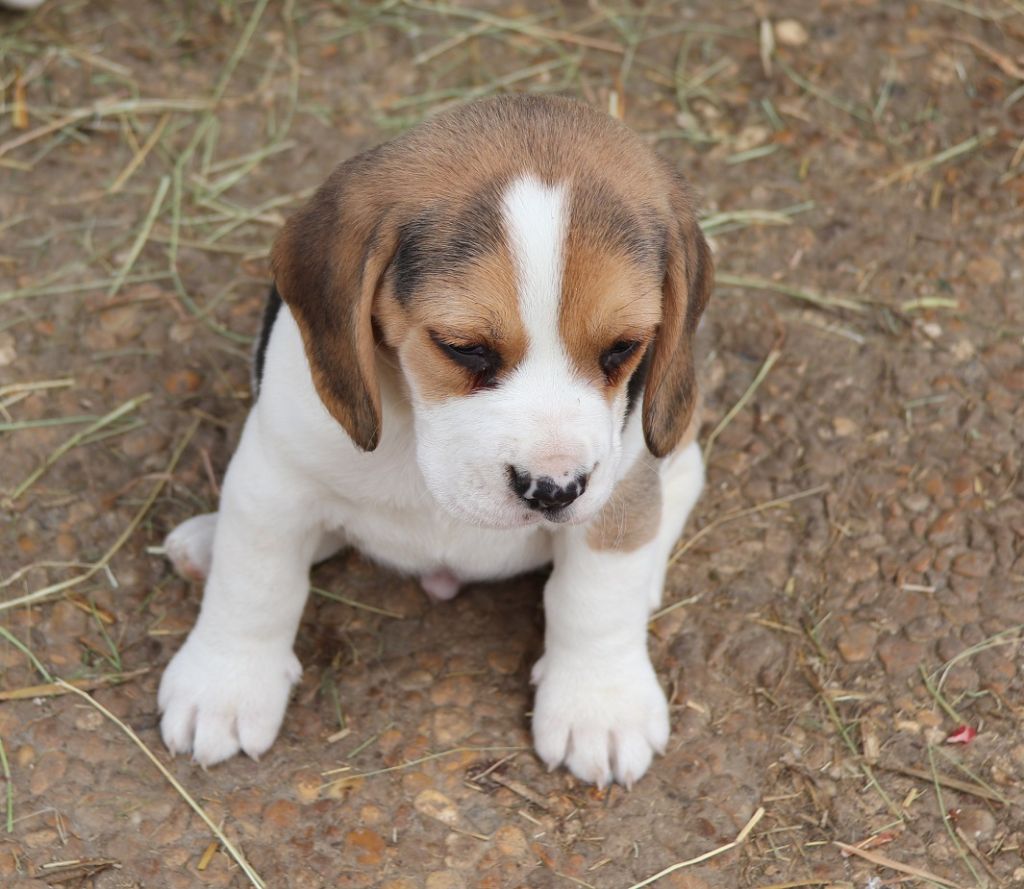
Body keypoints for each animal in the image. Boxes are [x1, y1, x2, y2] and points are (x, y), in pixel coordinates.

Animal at [159, 93, 716, 786]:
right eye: (464, 347)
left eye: (623, 348)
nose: (553, 490)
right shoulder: (275, 476)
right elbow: (254, 583)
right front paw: (225, 685)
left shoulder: (616, 490)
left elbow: (595, 598)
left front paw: (600, 705)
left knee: (685, 475)